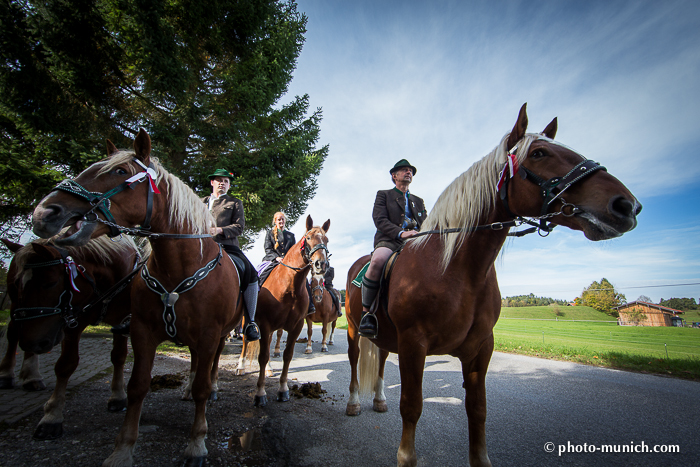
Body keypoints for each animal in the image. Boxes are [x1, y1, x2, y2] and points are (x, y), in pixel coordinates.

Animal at [0, 236, 142, 440]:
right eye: (20, 284)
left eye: (50, 282)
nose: (31, 342)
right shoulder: (72, 321)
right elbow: (66, 365)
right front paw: (52, 417)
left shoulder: (122, 316)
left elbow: (119, 356)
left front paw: (117, 396)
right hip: (17, 309)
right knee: (14, 334)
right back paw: (7, 374)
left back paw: (32, 377)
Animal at [32, 129, 245, 467]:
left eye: (120, 171)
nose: (44, 213)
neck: (179, 267)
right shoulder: (142, 332)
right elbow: (137, 386)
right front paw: (122, 449)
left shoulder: (210, 334)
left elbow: (202, 387)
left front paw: (196, 443)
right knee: (195, 362)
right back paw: (185, 388)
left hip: (221, 334)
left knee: (209, 368)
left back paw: (210, 389)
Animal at [237, 218, 330, 408]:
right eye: (308, 238)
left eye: (327, 240)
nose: (321, 264)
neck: (289, 286)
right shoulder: (264, 324)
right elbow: (262, 356)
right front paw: (260, 393)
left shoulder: (296, 326)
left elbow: (287, 356)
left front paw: (283, 389)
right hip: (248, 321)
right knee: (245, 341)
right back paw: (241, 367)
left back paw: (269, 369)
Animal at [344, 105, 640, 467]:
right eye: (539, 153)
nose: (626, 205)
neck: (457, 271)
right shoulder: (414, 344)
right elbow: (412, 407)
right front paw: (406, 457)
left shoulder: (481, 348)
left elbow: (478, 410)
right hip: (354, 329)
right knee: (355, 361)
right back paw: (354, 403)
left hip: (387, 337)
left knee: (382, 357)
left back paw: (378, 399)